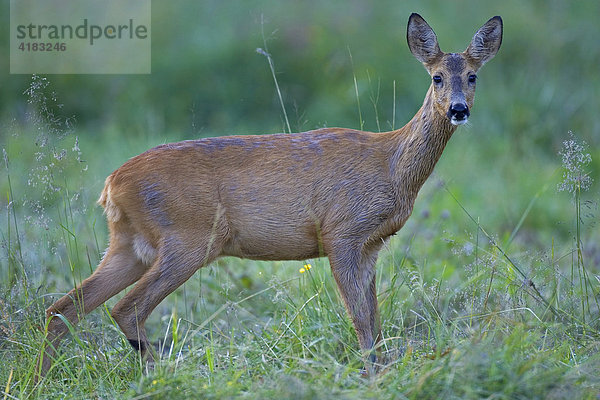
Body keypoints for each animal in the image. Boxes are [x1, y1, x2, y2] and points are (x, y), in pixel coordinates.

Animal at [37, 14, 502, 380]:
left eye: (473, 76)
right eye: (436, 77)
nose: (458, 109)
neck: (389, 164)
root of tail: (111, 184)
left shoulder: (371, 244)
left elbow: (375, 319)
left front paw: (383, 373)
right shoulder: (342, 232)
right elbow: (361, 321)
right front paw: (374, 378)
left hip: (129, 244)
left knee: (62, 308)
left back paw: (39, 380)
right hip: (188, 239)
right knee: (125, 308)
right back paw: (158, 376)